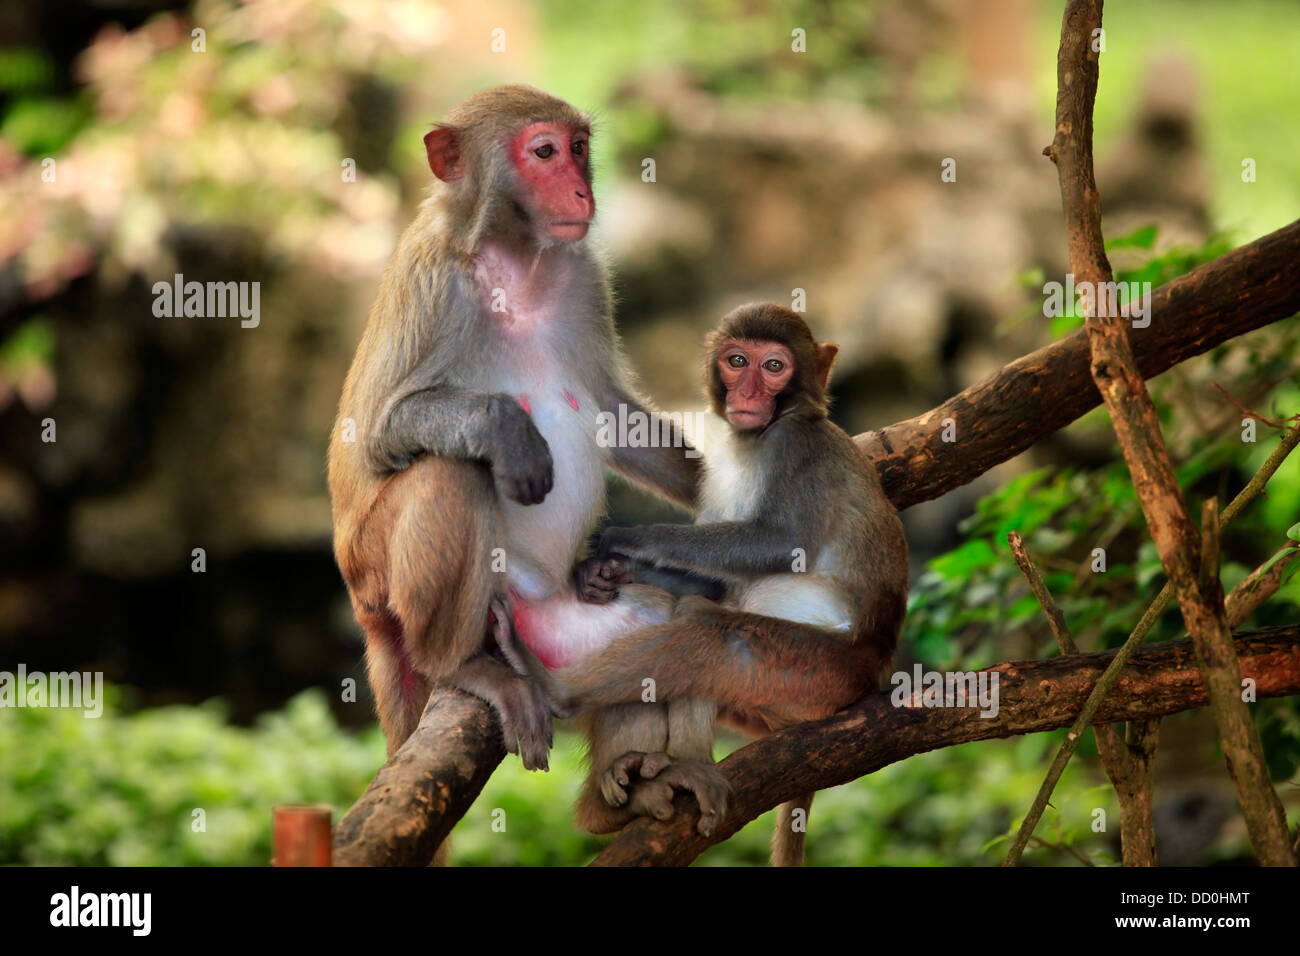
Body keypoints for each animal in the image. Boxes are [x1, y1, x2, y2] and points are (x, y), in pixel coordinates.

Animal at [327, 86, 700, 801]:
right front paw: (506, 429)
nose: (581, 190)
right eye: (544, 152)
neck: (514, 260)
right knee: (449, 473)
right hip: (376, 570)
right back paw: (460, 665)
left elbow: (612, 413)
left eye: (578, 148)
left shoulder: (584, 278)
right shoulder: (431, 284)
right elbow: (378, 432)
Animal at [546, 303, 910, 864]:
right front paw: (603, 570)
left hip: (819, 676)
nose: (750, 394)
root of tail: (876, 667)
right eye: (738, 361)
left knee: (712, 636)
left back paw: (566, 699)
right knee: (690, 617)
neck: (757, 436)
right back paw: (621, 797)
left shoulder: (797, 448)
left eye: (774, 366)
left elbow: (779, 542)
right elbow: (714, 583)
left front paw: (632, 539)